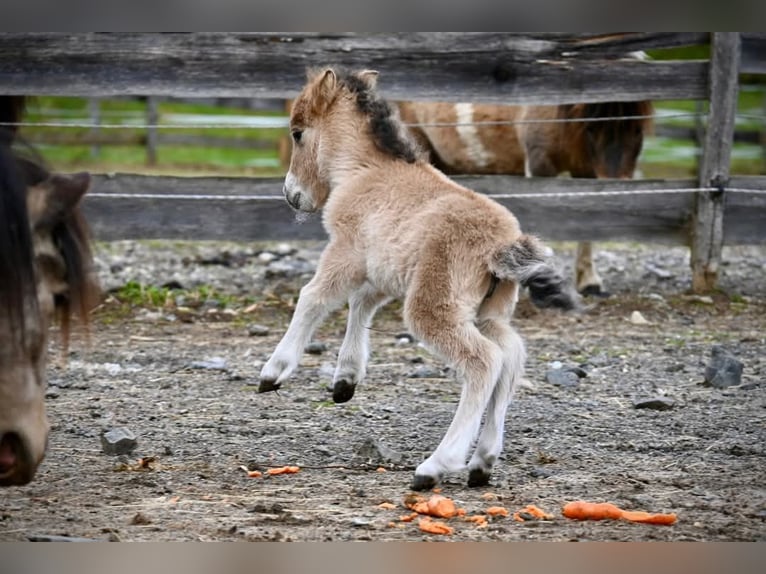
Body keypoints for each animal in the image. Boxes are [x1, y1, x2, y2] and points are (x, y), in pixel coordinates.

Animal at [260, 67, 580, 490]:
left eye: (298, 132)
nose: (292, 195)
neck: (365, 169)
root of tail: (503, 243)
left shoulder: (347, 250)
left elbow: (313, 298)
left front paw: (273, 372)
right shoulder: (384, 267)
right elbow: (361, 303)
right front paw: (345, 380)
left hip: (433, 305)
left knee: (484, 362)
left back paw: (435, 465)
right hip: (488, 312)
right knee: (510, 355)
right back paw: (482, 463)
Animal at [400, 100, 656, 296]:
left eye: (638, 130)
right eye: (591, 129)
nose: (618, 182)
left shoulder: (585, 169)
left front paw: (589, 281)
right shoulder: (540, 163)